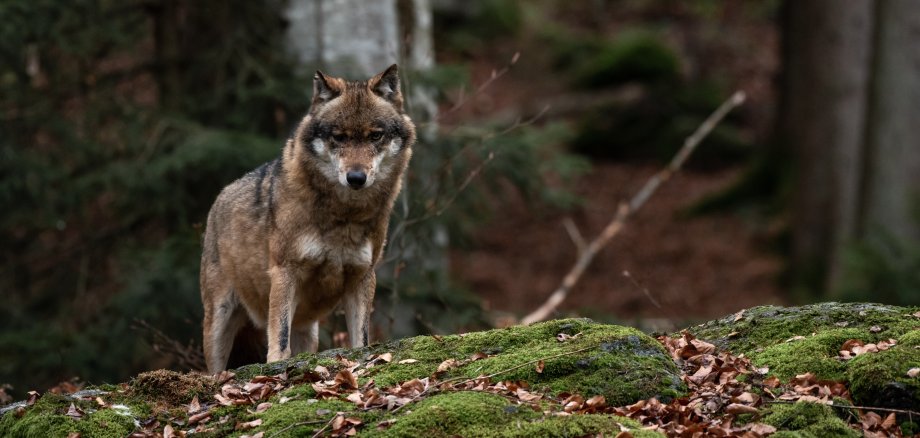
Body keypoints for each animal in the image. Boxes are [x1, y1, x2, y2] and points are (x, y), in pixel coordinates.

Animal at [203, 65, 418, 372]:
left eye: (375, 136)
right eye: (339, 137)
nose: (356, 178)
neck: (344, 216)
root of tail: (220, 196)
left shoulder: (363, 276)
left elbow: (361, 339)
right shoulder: (285, 271)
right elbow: (280, 338)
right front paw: (275, 367)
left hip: (308, 330)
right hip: (219, 323)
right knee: (214, 370)